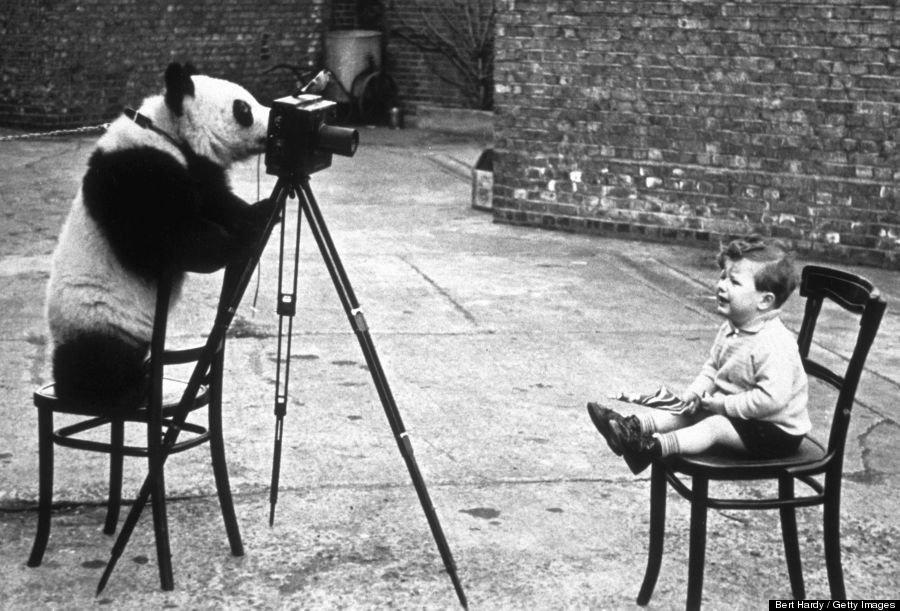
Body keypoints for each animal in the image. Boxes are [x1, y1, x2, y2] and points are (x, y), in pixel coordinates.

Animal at [44, 63, 274, 406]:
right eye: (243, 109)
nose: (273, 122)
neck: (165, 130)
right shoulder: (136, 171)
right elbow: (166, 241)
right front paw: (239, 240)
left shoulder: (197, 169)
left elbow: (218, 201)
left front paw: (261, 212)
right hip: (94, 317)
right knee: (100, 361)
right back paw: (119, 391)